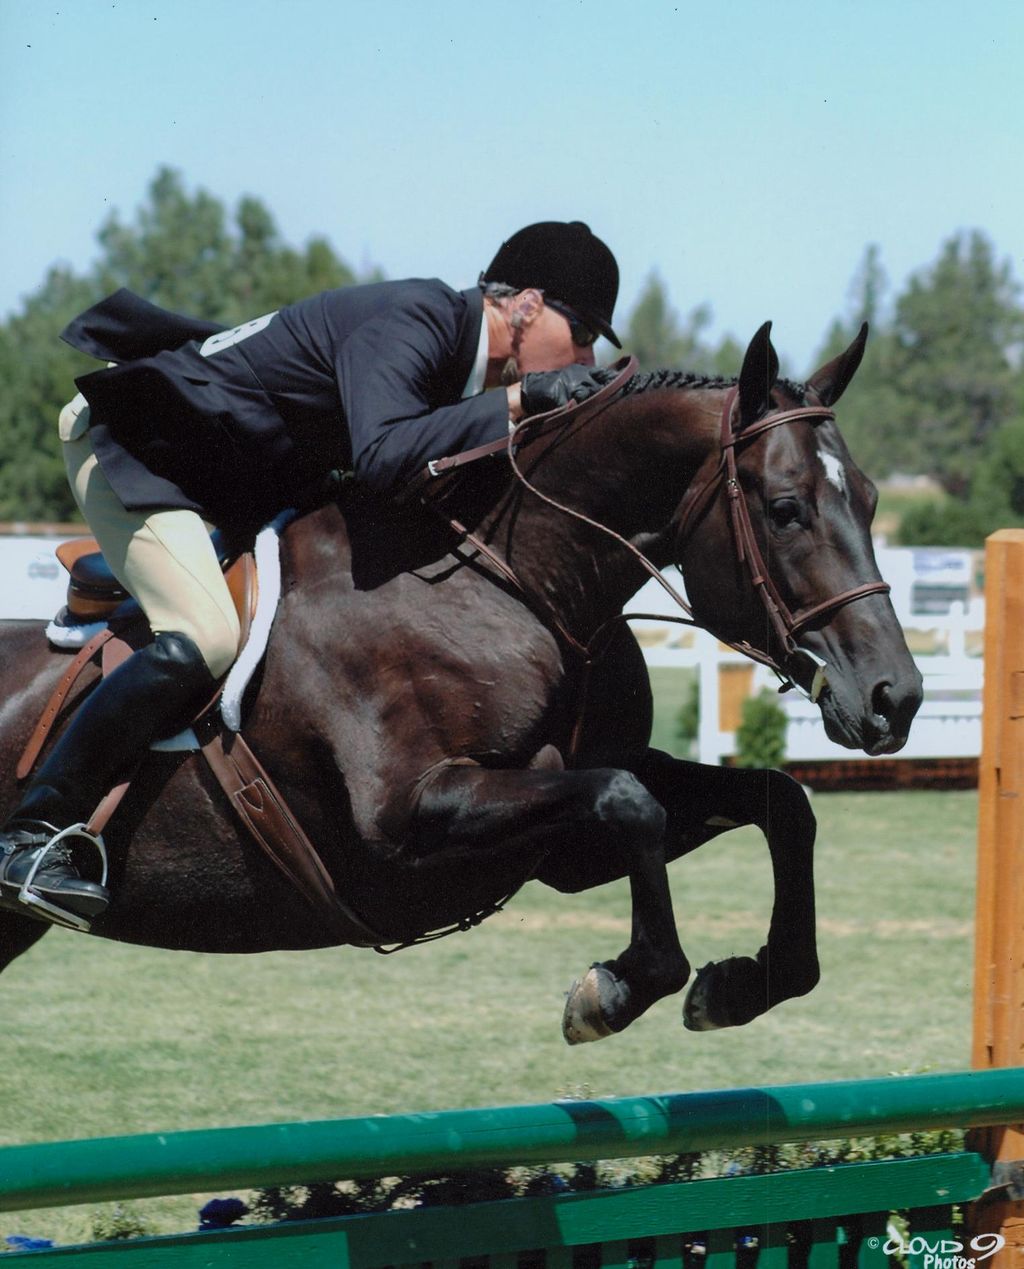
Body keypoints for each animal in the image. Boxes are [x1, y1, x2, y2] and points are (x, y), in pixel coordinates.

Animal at [0, 322, 918, 1045]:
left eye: (873, 500)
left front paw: (742, 984)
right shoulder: (409, 815)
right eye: (786, 508)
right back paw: (41, 855)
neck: (523, 587)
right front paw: (614, 990)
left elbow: (775, 801)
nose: (894, 697)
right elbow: (630, 802)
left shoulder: (562, 844)